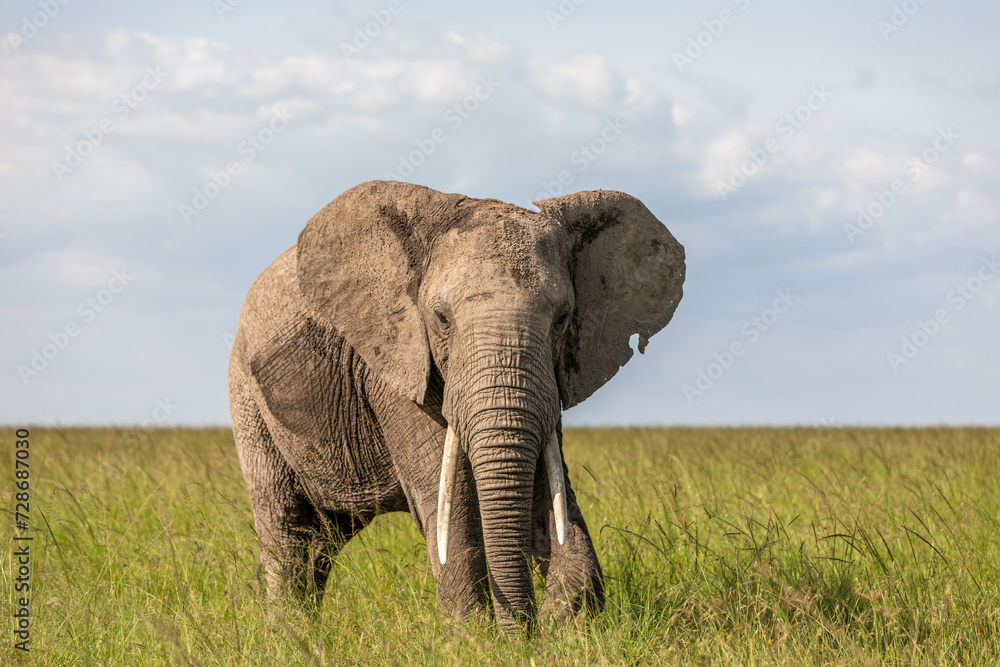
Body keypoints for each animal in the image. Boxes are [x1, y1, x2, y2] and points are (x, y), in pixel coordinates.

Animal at [228, 180, 685, 633]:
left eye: (563, 318)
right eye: (441, 318)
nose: (524, 633)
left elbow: (548, 485)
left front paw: (569, 624)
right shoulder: (397, 360)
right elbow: (451, 498)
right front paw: (472, 637)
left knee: (323, 539)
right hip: (246, 397)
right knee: (289, 528)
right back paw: (290, 636)